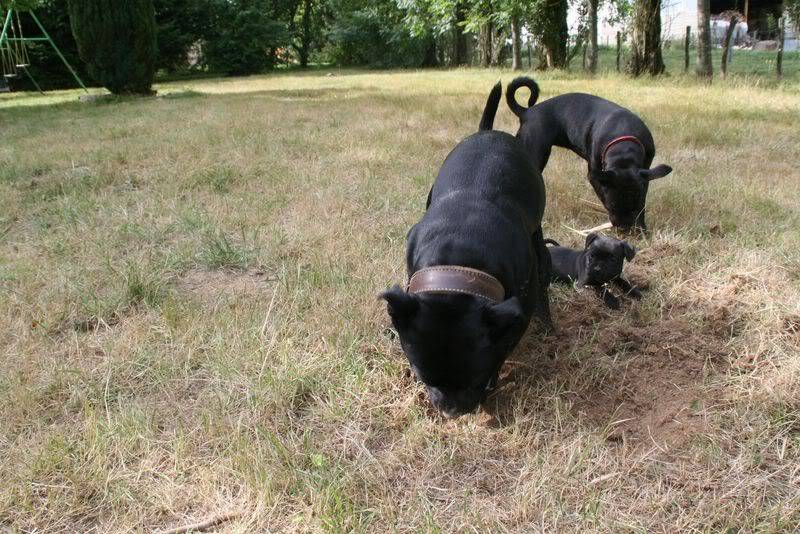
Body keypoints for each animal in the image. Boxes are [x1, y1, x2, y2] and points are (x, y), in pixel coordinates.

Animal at [382, 81, 552, 420]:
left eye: (475, 378)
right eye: (422, 377)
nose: (451, 411)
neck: (461, 252)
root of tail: (489, 131)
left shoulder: (519, 312)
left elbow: (505, 346)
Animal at [506, 77, 668, 232]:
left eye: (634, 207)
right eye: (611, 206)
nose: (624, 229)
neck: (623, 147)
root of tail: (527, 112)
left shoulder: (645, 175)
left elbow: (643, 201)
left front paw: (642, 229)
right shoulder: (594, 174)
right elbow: (601, 191)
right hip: (536, 153)